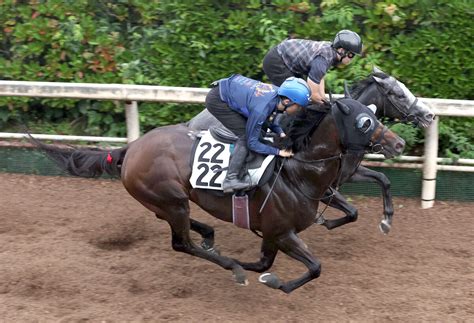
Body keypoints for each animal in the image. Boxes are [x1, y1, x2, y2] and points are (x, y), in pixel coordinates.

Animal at [32, 98, 404, 294]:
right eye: (365, 121)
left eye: (375, 112)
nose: (399, 143)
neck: (298, 172)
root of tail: (132, 147)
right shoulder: (282, 231)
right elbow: (314, 267)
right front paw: (270, 280)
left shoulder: (272, 232)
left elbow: (265, 262)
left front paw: (258, 270)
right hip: (171, 200)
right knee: (180, 243)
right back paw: (227, 263)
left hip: (169, 200)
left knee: (171, 223)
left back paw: (211, 238)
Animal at [186, 66, 434, 233]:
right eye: (399, 94)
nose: (429, 115)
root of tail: (191, 122)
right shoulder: (324, 187)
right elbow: (352, 211)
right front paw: (325, 221)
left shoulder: (347, 174)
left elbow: (383, 179)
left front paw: (386, 220)